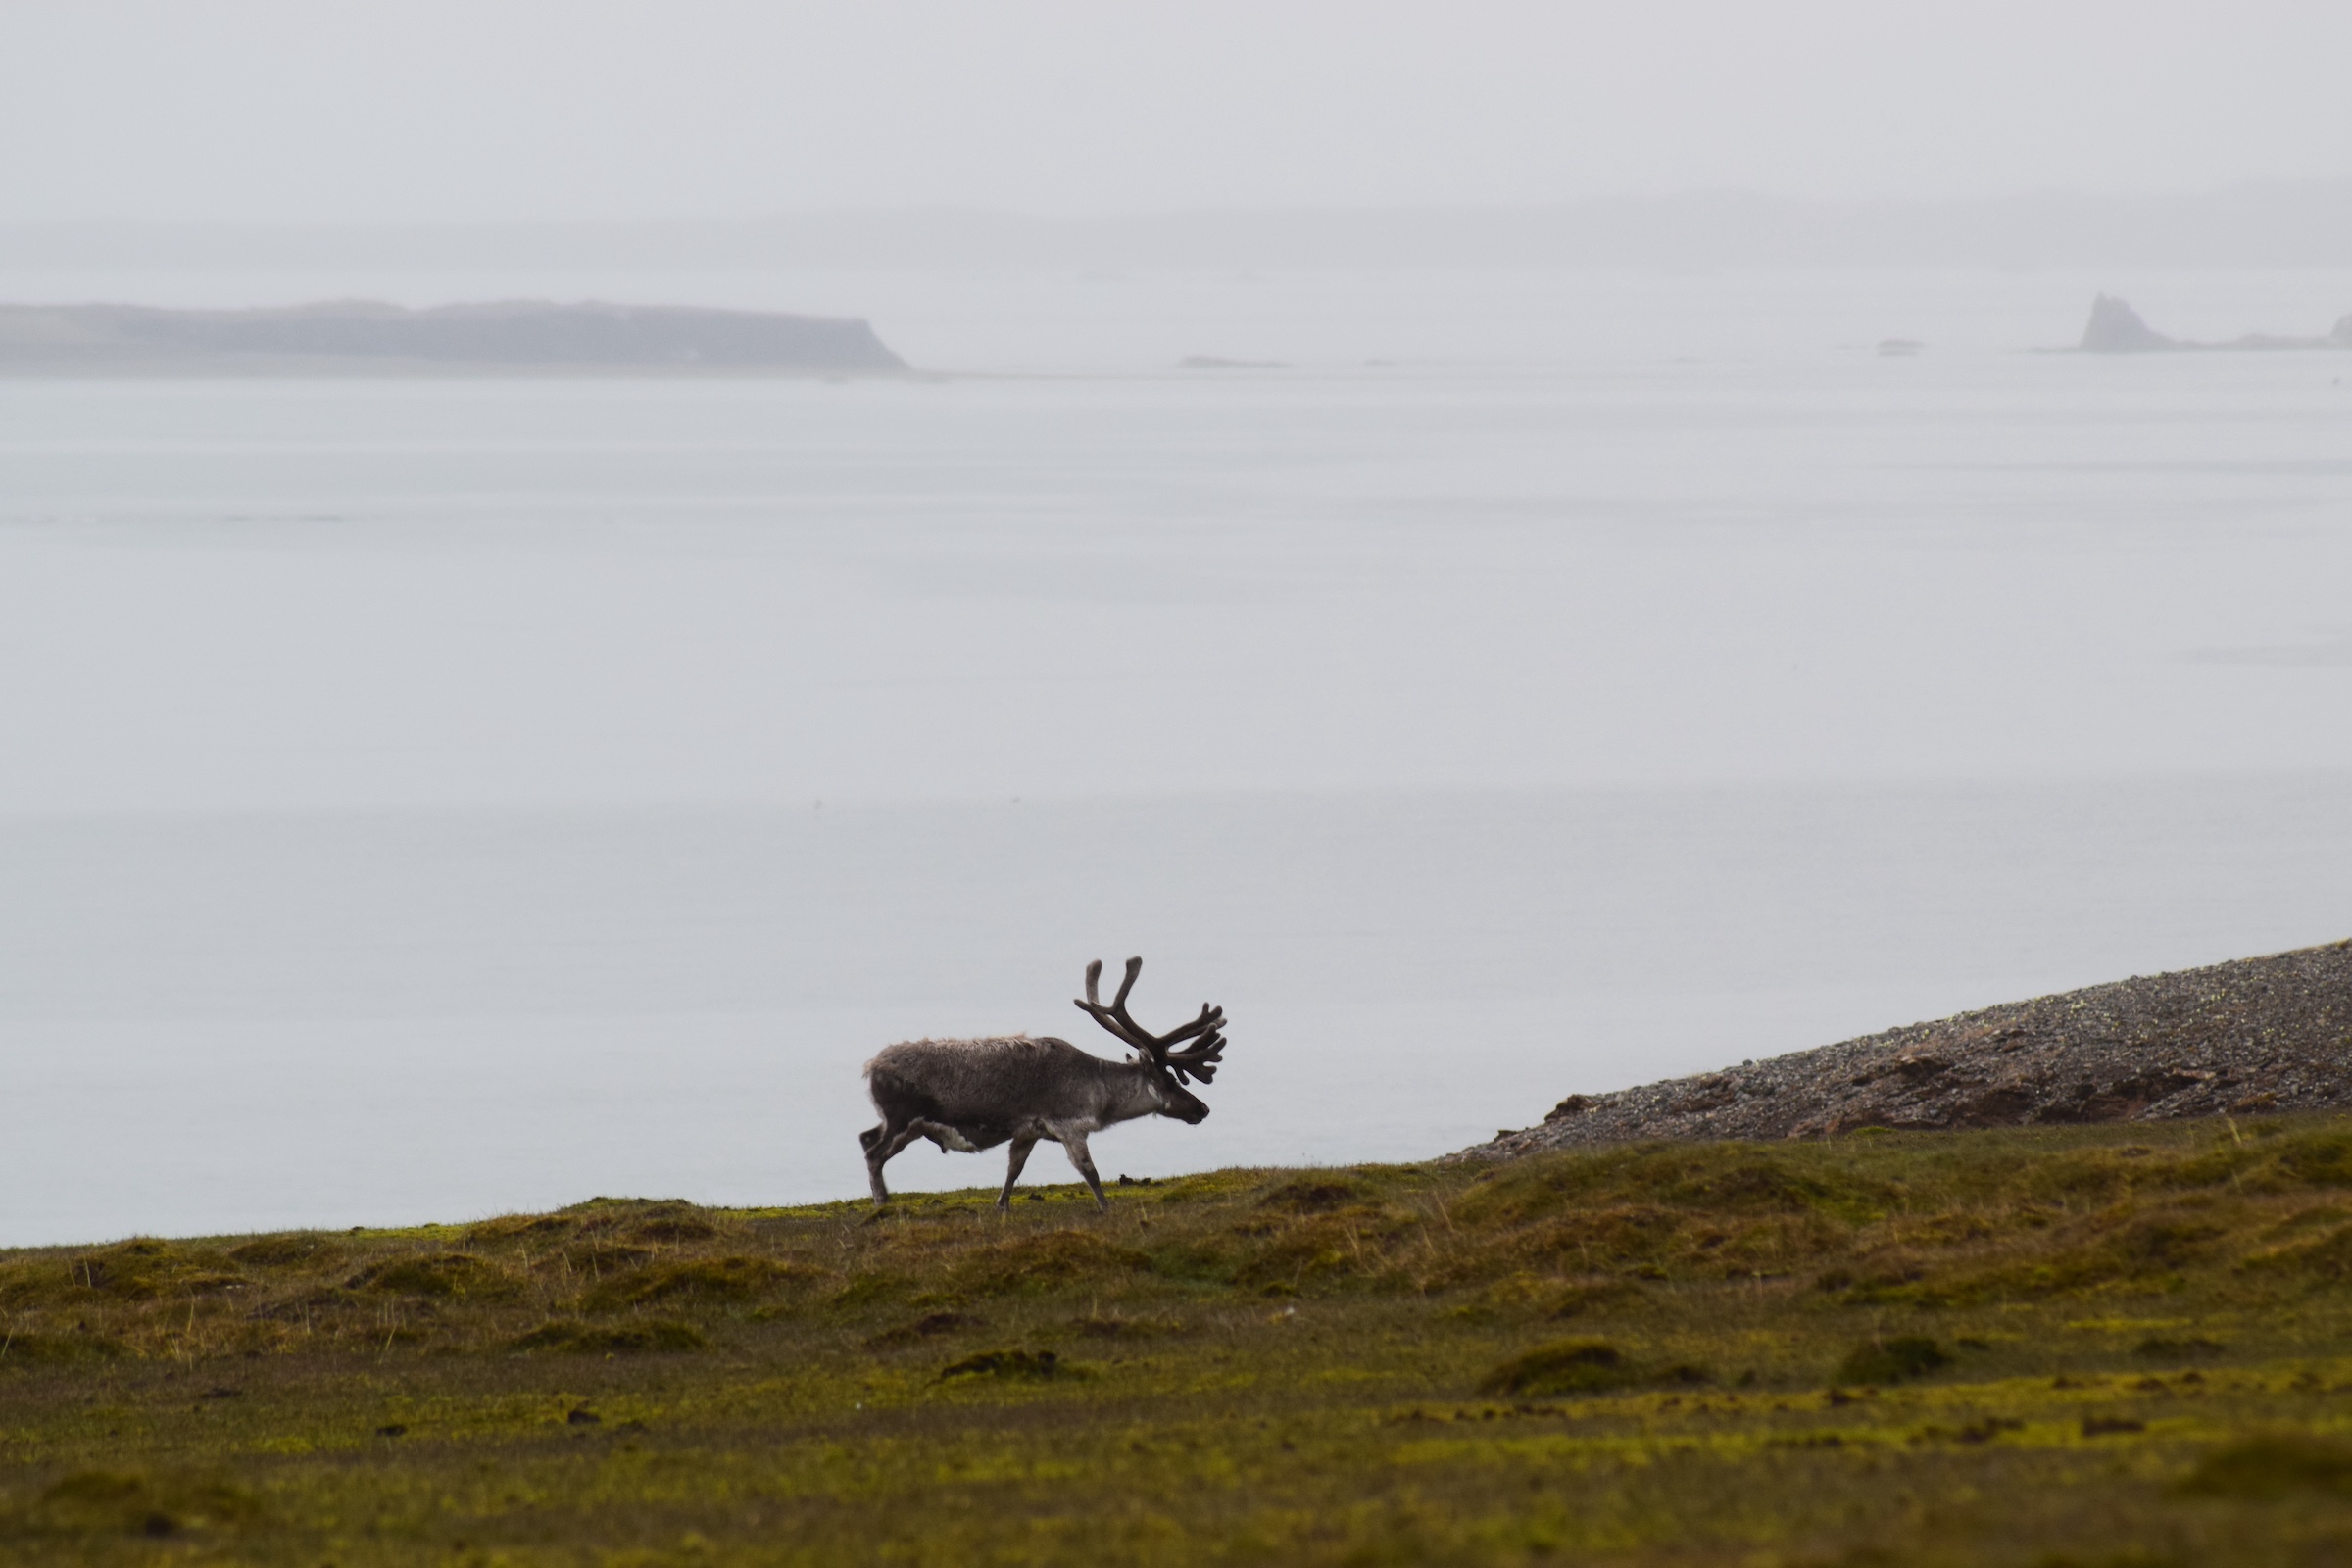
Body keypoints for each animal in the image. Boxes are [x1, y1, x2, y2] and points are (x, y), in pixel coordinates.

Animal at [860, 957, 1228, 1212]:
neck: (1099, 1096)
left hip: (899, 1123)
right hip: (903, 1119)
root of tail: (870, 1067)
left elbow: (1014, 1169)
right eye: (1169, 1080)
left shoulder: (1029, 1130)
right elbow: (1090, 1171)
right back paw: (881, 1203)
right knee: (874, 1153)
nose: (1203, 1108)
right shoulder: (1069, 1123)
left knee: (866, 1137)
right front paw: (1106, 1207)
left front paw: (1002, 1205)